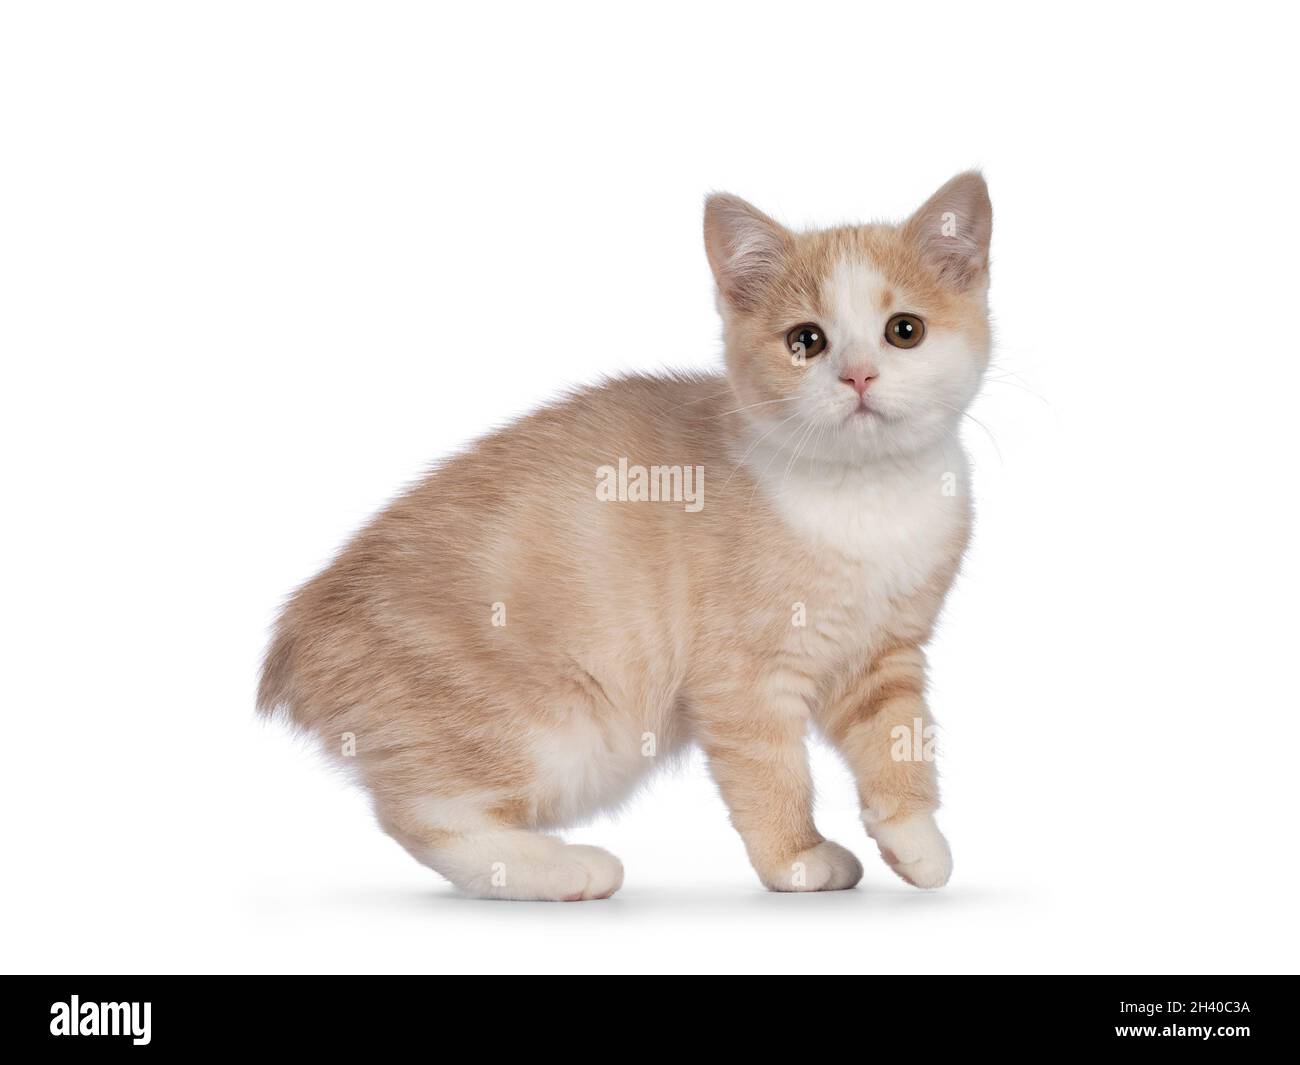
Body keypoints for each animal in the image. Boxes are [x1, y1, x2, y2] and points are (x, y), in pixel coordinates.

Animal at [261, 172, 993, 899]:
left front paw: (916, 840)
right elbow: (770, 771)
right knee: (425, 812)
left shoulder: (886, 652)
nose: (858, 375)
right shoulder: (741, 673)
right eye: (806, 341)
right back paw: (561, 868)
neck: (865, 497)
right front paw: (796, 857)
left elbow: (899, 738)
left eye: (904, 331)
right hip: (552, 726)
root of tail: (300, 635)